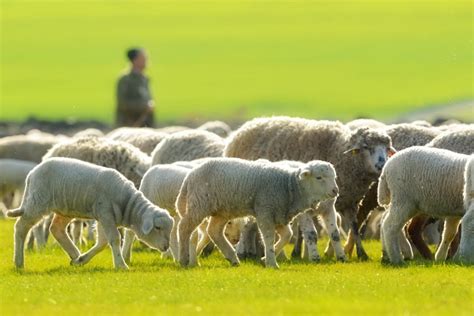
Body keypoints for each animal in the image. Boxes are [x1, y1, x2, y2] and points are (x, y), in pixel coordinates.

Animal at [6, 158, 174, 270]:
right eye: (158, 227)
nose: (166, 246)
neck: (127, 204)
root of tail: (32, 173)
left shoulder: (104, 217)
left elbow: (102, 242)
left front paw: (82, 259)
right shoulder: (105, 213)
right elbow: (114, 239)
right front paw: (121, 265)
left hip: (65, 208)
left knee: (56, 228)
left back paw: (75, 254)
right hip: (38, 201)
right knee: (21, 227)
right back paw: (19, 262)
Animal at [174, 157, 340, 268]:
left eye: (334, 177)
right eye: (319, 177)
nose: (335, 191)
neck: (289, 186)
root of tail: (189, 176)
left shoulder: (279, 213)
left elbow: (287, 235)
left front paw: (264, 258)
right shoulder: (265, 210)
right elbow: (268, 237)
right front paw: (271, 263)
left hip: (222, 210)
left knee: (214, 231)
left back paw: (232, 258)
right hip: (200, 204)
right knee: (184, 227)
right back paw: (183, 259)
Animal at [224, 117, 394, 260]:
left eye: (387, 148)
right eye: (366, 147)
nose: (382, 164)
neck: (341, 153)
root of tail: (245, 126)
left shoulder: (350, 202)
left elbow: (354, 227)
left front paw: (361, 253)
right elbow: (307, 230)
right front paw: (301, 253)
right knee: (246, 224)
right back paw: (244, 251)